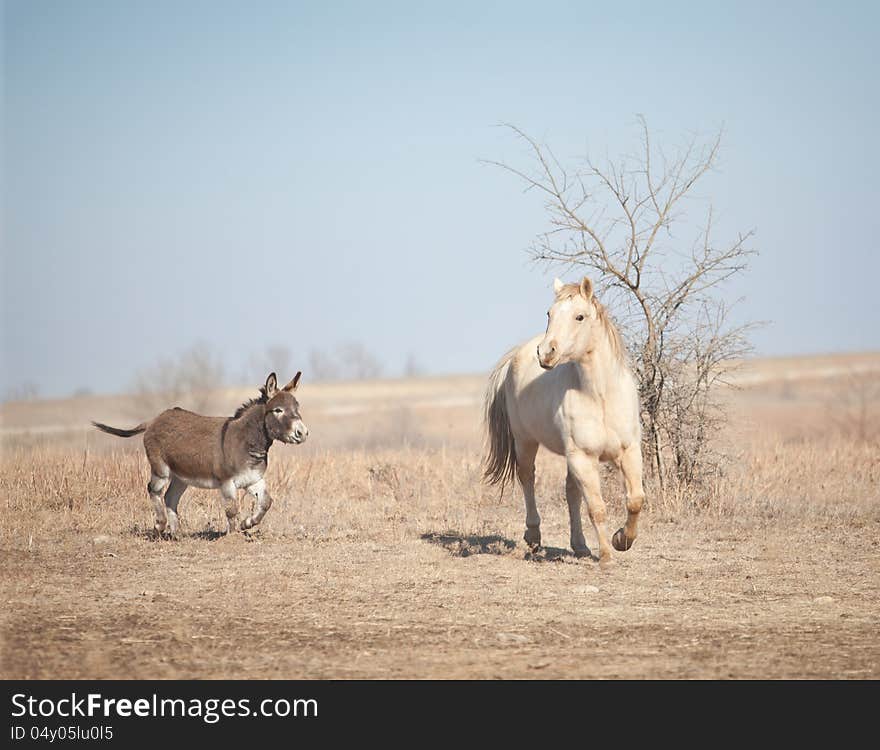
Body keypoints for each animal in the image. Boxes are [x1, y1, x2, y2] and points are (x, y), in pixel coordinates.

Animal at [91, 374, 308, 536]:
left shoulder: (252, 479)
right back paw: (160, 525)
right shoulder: (226, 482)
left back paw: (176, 534)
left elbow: (266, 502)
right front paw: (232, 536)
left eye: (297, 409)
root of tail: (154, 420)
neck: (248, 442)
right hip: (161, 470)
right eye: (278, 410)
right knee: (154, 490)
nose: (303, 433)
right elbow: (231, 509)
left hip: (181, 477)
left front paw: (247, 524)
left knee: (170, 497)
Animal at [482, 280, 648, 568]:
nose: (546, 353)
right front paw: (606, 556)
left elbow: (635, 500)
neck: (601, 395)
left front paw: (621, 540)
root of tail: (517, 355)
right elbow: (597, 508)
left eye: (579, 316)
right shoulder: (583, 457)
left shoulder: (628, 452)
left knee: (571, 493)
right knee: (528, 478)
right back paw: (534, 536)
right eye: (549, 313)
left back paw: (580, 546)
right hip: (526, 442)